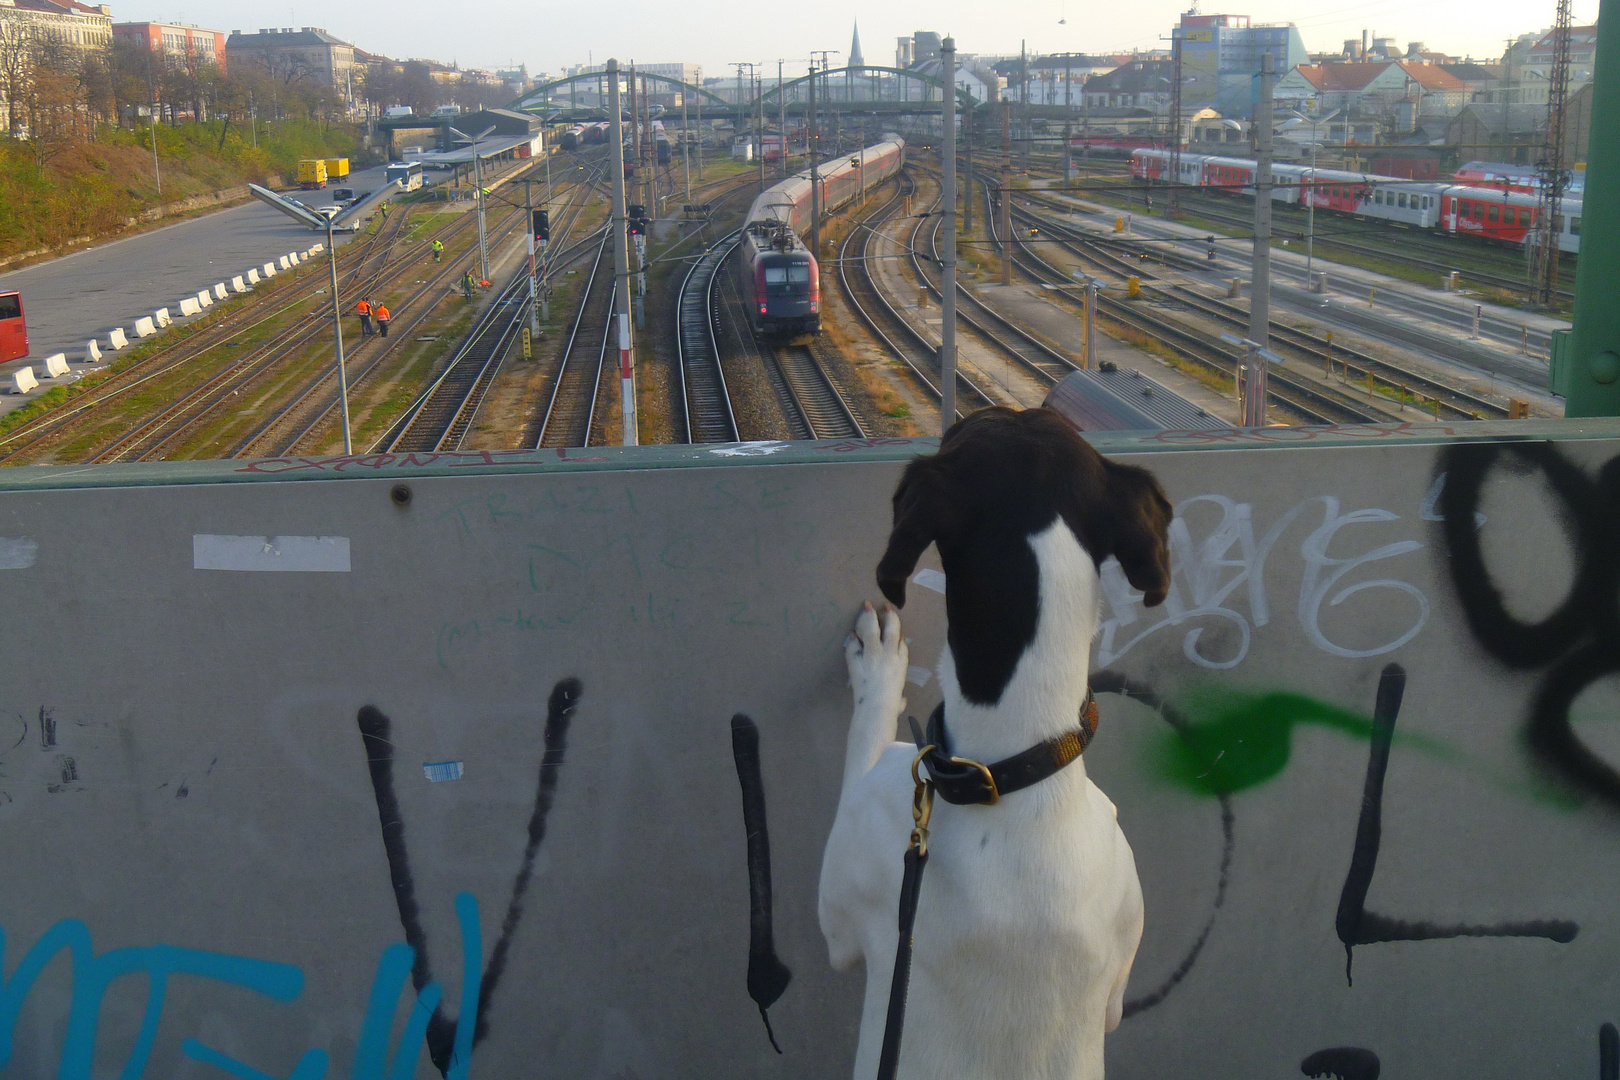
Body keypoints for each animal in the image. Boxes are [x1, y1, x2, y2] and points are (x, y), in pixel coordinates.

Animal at [816, 408, 1172, 1080]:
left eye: (977, 423)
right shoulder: (1122, 953)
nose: (966, 410)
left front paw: (877, 663)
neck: (1014, 770)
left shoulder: (843, 905)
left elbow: (865, 735)